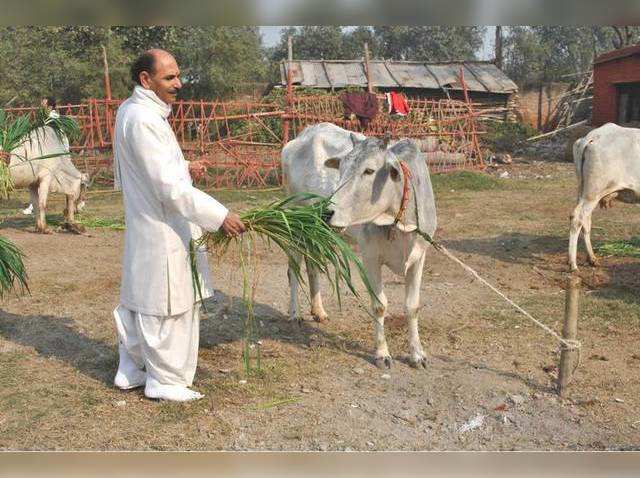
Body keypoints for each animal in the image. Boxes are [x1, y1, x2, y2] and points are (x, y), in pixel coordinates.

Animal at [282, 121, 438, 368]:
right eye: (342, 168)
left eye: (369, 170)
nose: (328, 212)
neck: (398, 221)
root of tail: (303, 134)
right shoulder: (370, 256)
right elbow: (380, 305)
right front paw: (382, 354)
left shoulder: (419, 256)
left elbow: (412, 306)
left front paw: (417, 354)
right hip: (294, 221)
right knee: (293, 268)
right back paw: (294, 313)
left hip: (316, 230)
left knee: (313, 265)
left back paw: (318, 311)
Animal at [568, 122, 640, 272]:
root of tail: (593, 136)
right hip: (593, 193)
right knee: (577, 218)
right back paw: (573, 264)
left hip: (584, 191)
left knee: (585, 220)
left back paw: (592, 258)